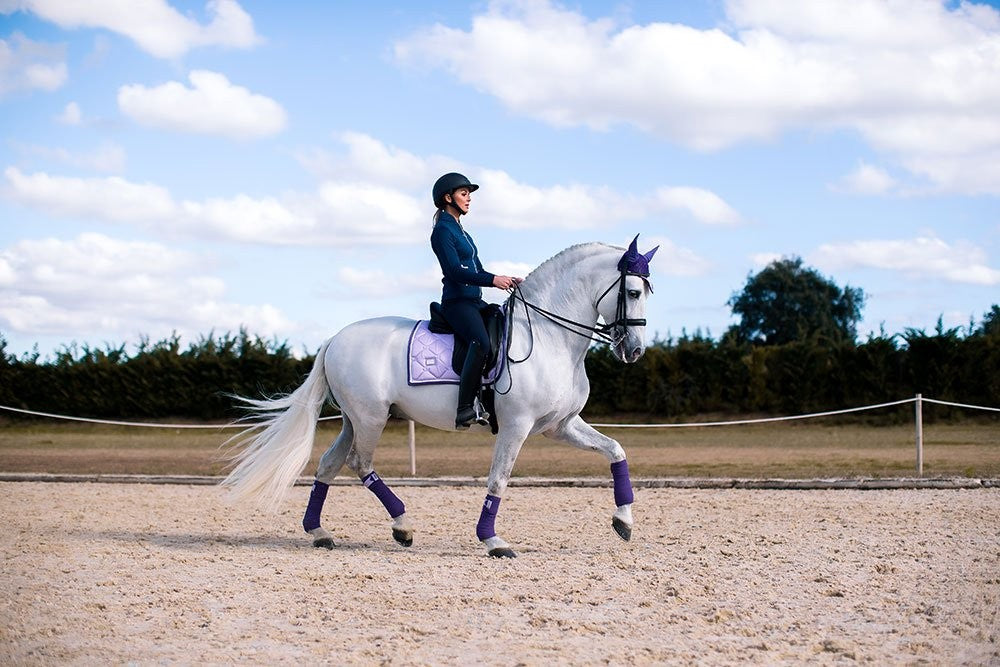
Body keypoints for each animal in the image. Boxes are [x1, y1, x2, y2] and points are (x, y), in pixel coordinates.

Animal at [221, 237, 656, 556]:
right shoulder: (516, 426)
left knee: (330, 463)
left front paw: (624, 521)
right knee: (360, 463)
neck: (549, 337)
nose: (635, 351)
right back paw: (402, 525)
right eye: (634, 292)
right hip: (371, 418)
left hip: (353, 419)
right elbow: (499, 479)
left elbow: (616, 451)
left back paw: (320, 533)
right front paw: (493, 541)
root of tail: (335, 338)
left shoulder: (560, 426)